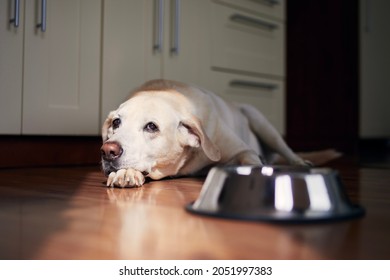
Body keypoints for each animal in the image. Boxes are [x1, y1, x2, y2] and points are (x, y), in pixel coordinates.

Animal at [101, 79, 310, 188]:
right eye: (116, 122)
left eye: (151, 127)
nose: (108, 151)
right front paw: (125, 173)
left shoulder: (243, 150)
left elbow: (250, 161)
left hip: (260, 121)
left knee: (286, 149)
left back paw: (300, 162)